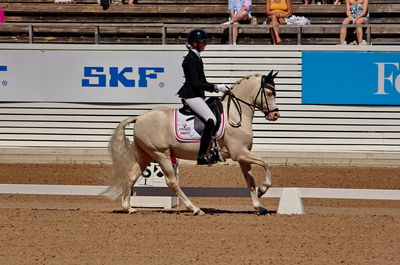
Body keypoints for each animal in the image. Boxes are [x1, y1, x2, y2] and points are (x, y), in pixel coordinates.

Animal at [101, 70, 280, 214]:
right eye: (269, 93)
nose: (275, 115)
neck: (236, 114)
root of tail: (139, 118)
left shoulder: (243, 156)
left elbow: (250, 181)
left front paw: (259, 205)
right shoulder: (240, 153)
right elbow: (266, 163)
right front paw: (263, 189)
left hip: (146, 154)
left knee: (132, 175)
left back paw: (129, 208)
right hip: (161, 154)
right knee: (171, 181)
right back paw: (195, 208)